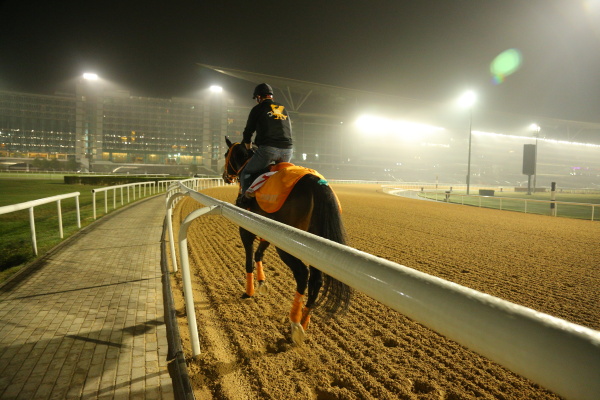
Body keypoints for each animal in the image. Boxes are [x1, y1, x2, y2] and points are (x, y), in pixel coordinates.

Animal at [223, 137, 350, 344]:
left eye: (227, 154)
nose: (225, 176)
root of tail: (317, 184)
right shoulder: (267, 230)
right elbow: (259, 254)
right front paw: (262, 283)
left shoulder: (247, 227)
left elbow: (249, 259)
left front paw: (248, 291)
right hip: (316, 244)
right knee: (316, 280)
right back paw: (304, 320)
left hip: (288, 244)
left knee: (303, 275)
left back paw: (295, 324)